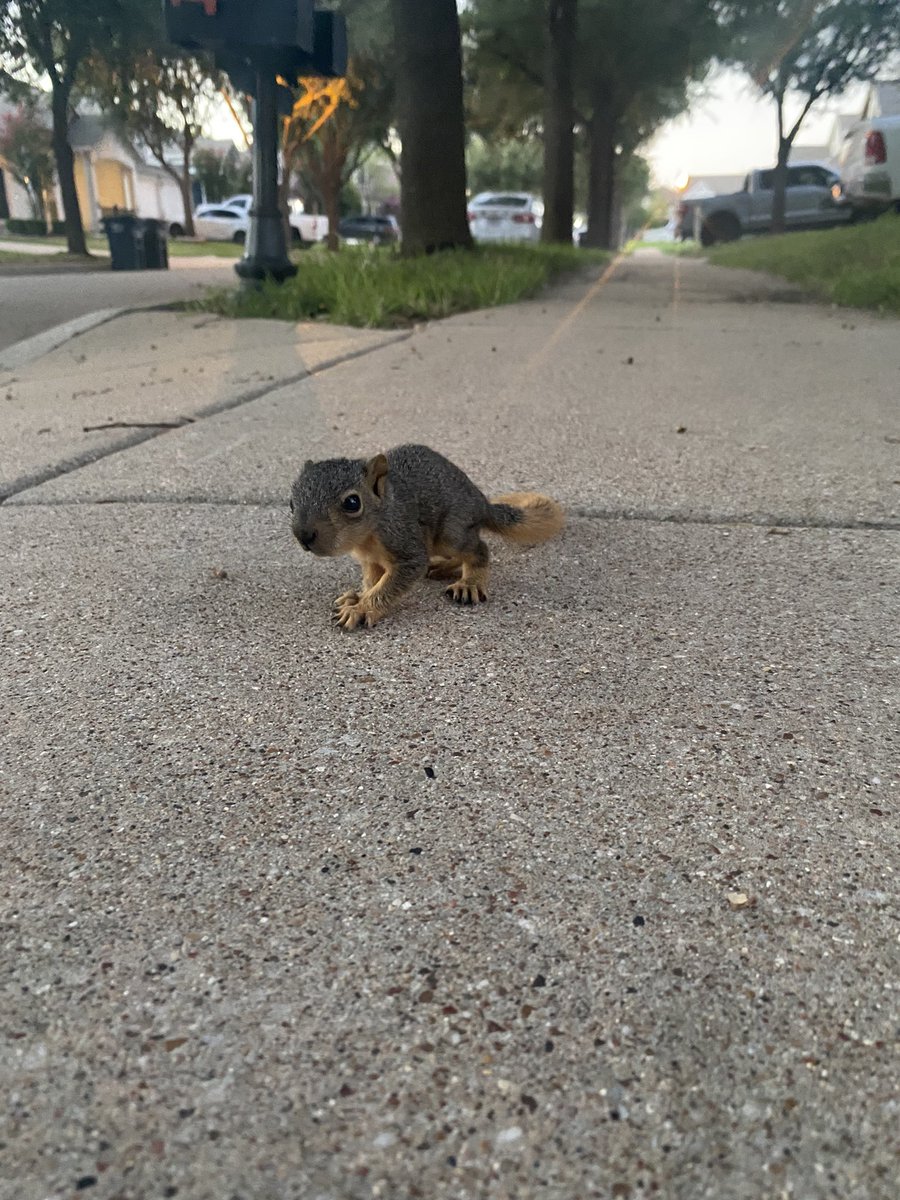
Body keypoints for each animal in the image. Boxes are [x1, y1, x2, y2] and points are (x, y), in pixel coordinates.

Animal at [290, 443, 564, 630]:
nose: (303, 535)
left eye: (352, 502)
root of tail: (481, 503)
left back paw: (469, 583)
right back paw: (442, 568)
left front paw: (361, 608)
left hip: (451, 533)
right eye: (292, 502)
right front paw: (358, 596)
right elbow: (372, 581)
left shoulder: (405, 542)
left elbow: (390, 584)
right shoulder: (370, 561)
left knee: (478, 549)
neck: (367, 537)